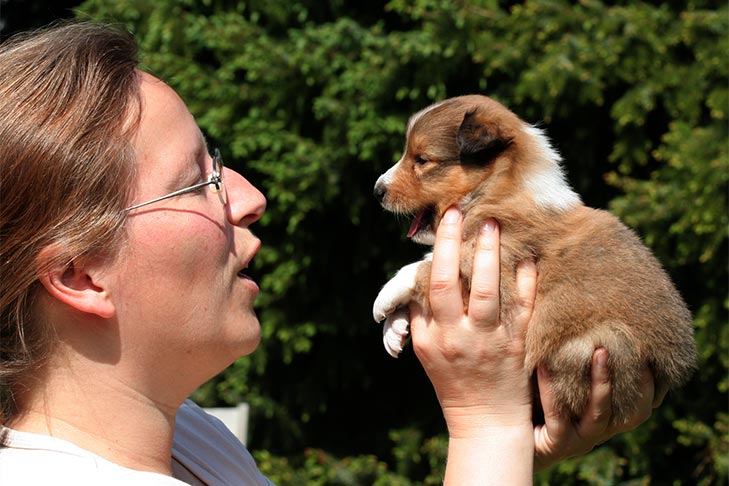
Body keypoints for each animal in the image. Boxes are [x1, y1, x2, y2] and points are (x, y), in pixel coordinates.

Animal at [372, 95, 696, 426]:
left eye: (422, 160)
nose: (377, 190)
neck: (497, 189)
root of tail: (676, 367)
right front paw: (393, 329)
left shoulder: (498, 264)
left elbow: (426, 265)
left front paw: (385, 297)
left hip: (596, 346)